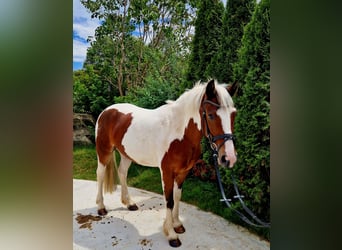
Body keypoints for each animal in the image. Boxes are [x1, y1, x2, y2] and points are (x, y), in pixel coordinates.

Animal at [95, 79, 236, 247]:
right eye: (211, 115)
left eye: (234, 114)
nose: (229, 158)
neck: (179, 133)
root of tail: (107, 110)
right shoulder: (167, 172)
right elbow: (169, 200)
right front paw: (171, 234)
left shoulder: (183, 172)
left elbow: (177, 197)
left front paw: (177, 225)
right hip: (104, 151)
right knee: (100, 174)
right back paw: (101, 207)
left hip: (126, 154)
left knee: (122, 172)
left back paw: (129, 203)